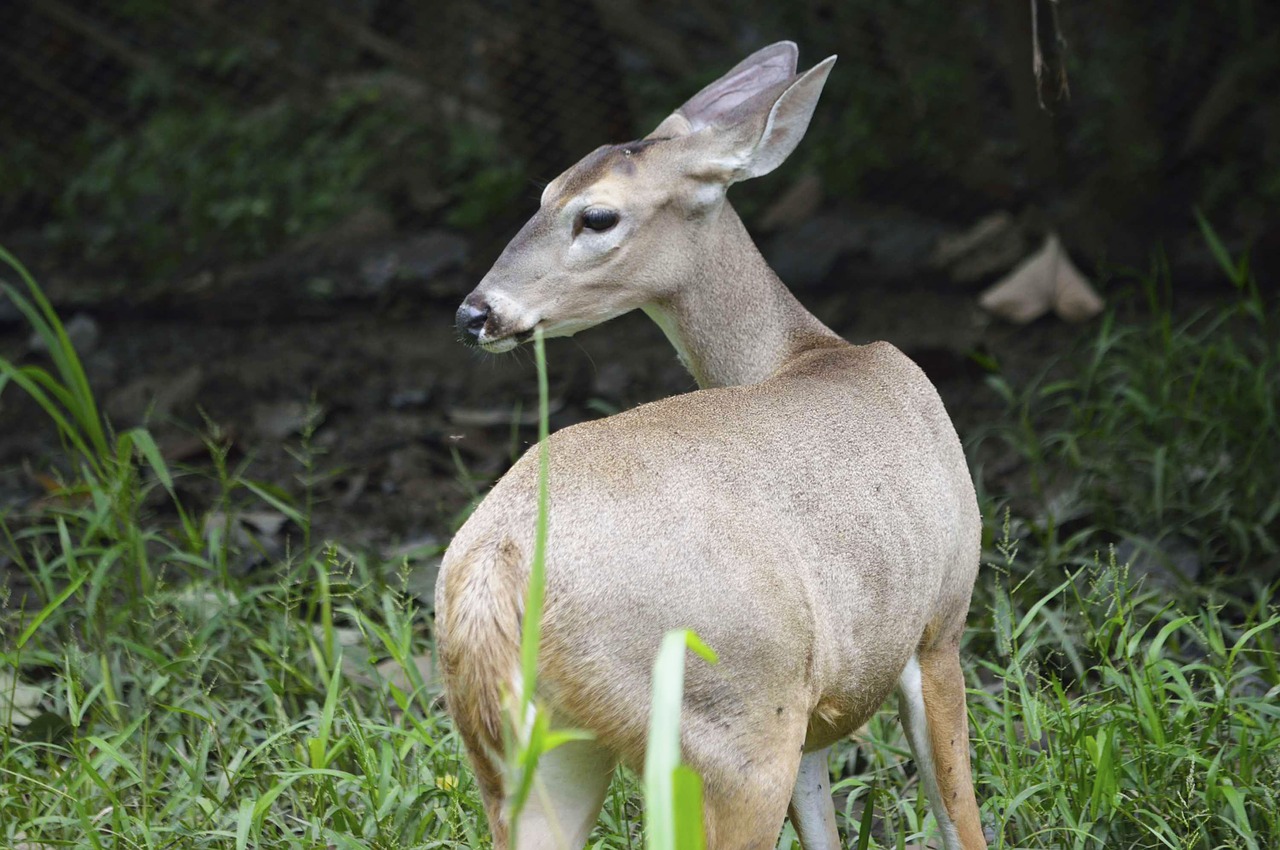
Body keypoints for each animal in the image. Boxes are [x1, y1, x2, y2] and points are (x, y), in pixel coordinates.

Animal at [435, 41, 983, 850]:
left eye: (592, 211)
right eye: (545, 194)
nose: (475, 313)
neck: (808, 353)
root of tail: (493, 570)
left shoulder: (820, 702)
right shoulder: (940, 621)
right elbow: (960, 817)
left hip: (533, 752)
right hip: (733, 724)